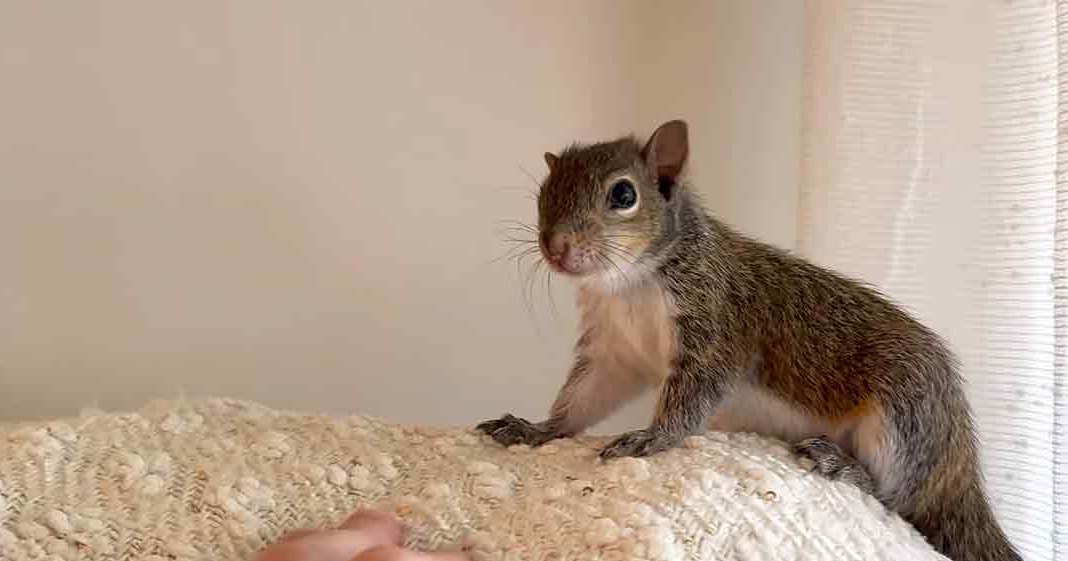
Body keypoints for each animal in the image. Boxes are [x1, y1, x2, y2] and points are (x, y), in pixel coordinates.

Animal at [476, 120, 1023, 561]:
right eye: (543, 191)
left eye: (623, 195)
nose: (555, 247)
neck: (631, 283)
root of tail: (959, 463)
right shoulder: (614, 350)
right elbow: (584, 398)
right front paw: (537, 428)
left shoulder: (716, 324)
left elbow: (694, 395)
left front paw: (653, 437)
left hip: (904, 412)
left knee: (898, 499)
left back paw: (844, 467)